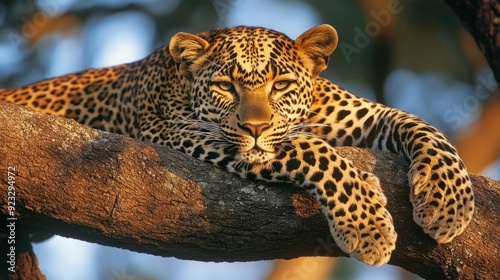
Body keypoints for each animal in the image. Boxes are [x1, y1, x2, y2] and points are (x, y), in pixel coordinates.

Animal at [0, 23, 474, 264]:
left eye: (281, 85)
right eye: (226, 86)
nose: (255, 128)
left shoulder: (362, 114)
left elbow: (423, 126)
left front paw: (448, 203)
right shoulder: (187, 135)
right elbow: (314, 151)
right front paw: (367, 226)